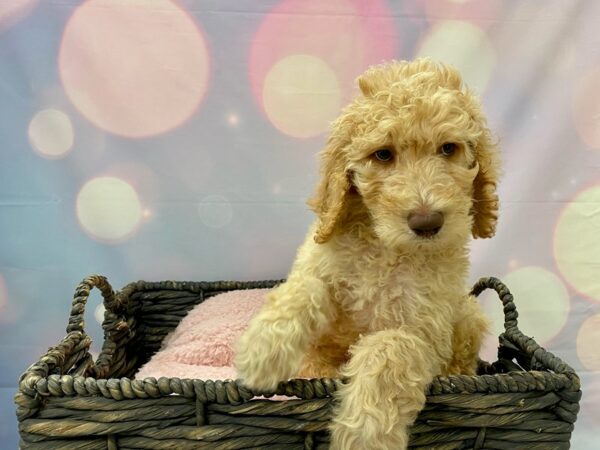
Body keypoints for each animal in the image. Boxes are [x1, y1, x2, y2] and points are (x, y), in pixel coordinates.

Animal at [237, 59, 500, 450]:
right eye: (383, 154)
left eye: (448, 149)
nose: (427, 222)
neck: (386, 249)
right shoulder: (322, 267)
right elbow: (305, 288)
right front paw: (262, 350)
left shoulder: (424, 329)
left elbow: (389, 347)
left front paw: (364, 433)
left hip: (466, 313)